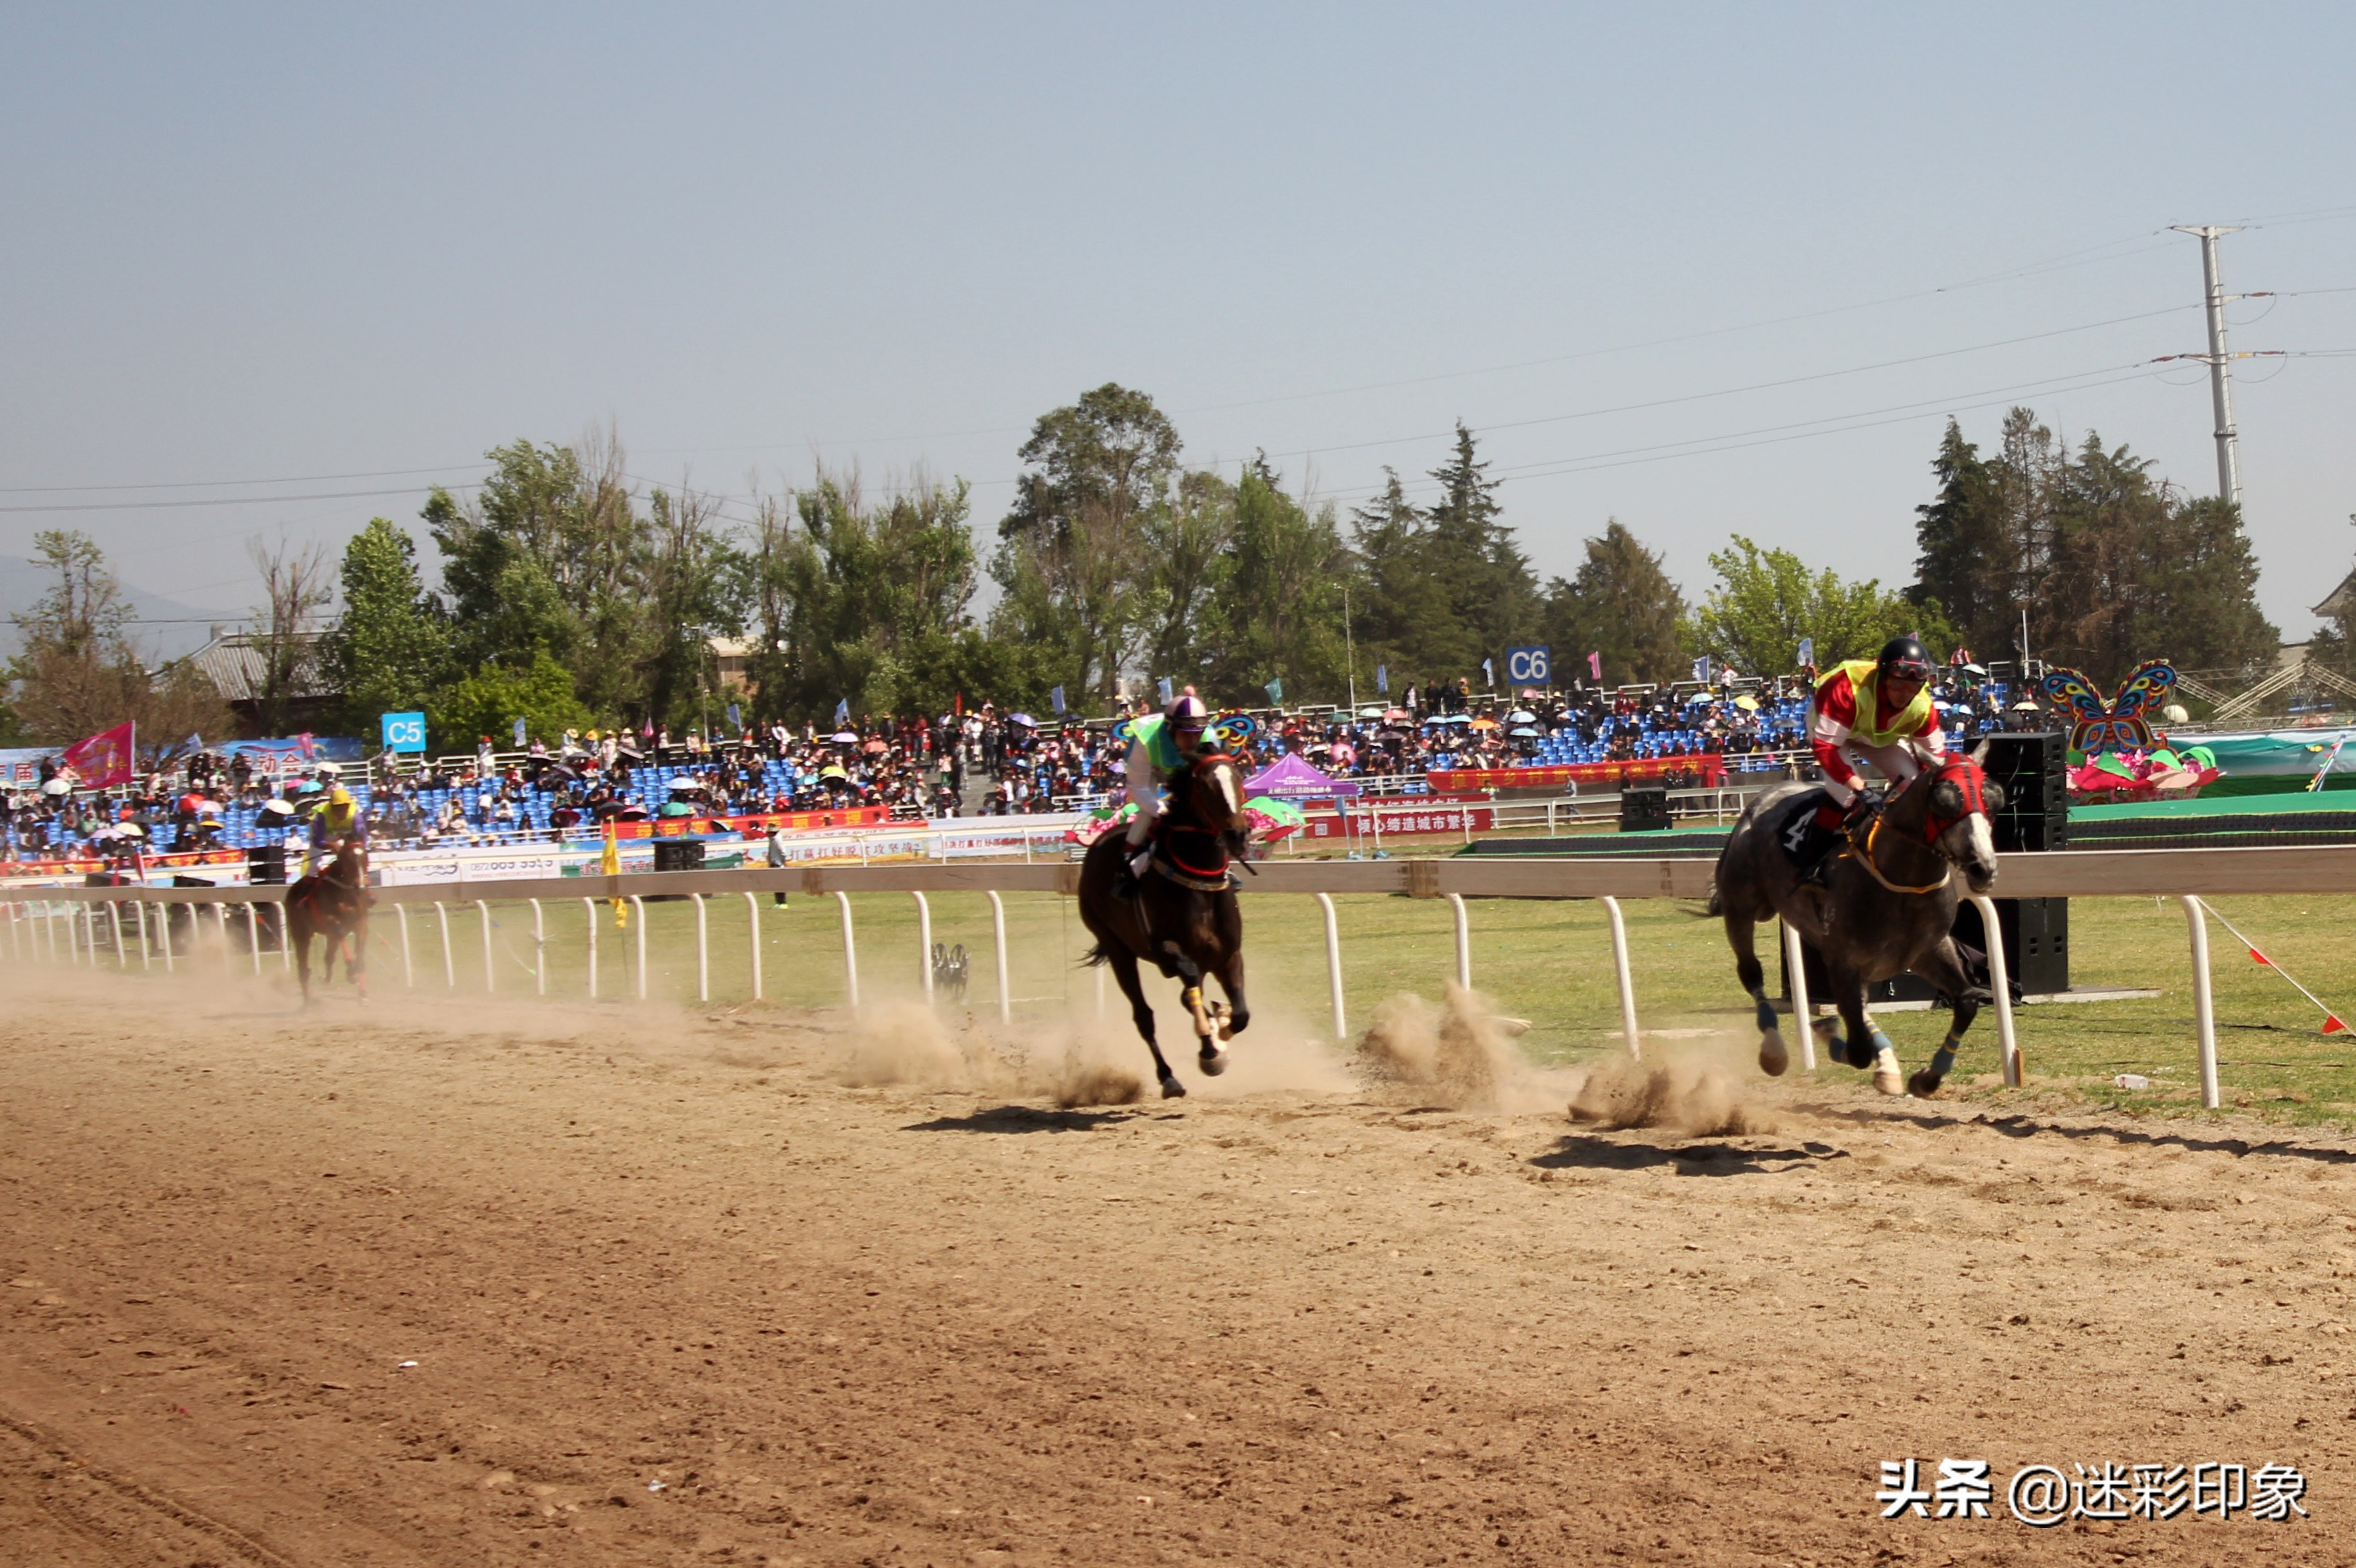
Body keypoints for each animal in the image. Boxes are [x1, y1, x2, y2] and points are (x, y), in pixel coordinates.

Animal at [287, 843, 369, 1003]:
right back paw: (308, 1001)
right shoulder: (330, 921)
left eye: (365, 859)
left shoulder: (361, 922)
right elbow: (341, 933)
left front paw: (362, 991)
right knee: (303, 968)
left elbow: (361, 953)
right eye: (350, 861)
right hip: (301, 934)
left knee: (328, 957)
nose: (361, 887)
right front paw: (351, 971)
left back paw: (327, 979)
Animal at [1083, 749, 1262, 1092]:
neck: (1199, 880)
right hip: (1116, 949)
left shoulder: (1228, 954)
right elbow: (1189, 984)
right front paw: (1210, 1051)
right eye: (1205, 787)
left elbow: (1242, 1015)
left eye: (1239, 777)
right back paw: (1168, 1077)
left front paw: (1221, 1030)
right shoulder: (1167, 949)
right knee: (1144, 1015)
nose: (1237, 834)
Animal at [1715, 743, 2007, 1087]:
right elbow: (1857, 1051)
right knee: (1751, 972)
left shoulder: (1927, 949)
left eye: (1995, 798)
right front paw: (1830, 1034)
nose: (1983, 868)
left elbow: (1967, 1001)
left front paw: (1927, 1077)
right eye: (1945, 800)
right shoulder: (1844, 961)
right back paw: (1774, 1051)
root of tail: (1762, 799)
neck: (1902, 881)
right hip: (1741, 909)